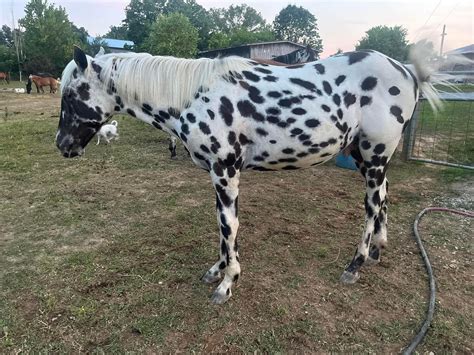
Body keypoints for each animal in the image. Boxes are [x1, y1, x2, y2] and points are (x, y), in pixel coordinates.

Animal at [55, 46, 444, 304]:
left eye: (72, 94)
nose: (62, 145)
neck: (194, 95)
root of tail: (406, 70)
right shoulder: (220, 175)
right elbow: (223, 226)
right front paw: (218, 269)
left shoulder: (225, 171)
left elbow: (229, 226)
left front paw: (227, 283)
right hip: (366, 157)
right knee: (383, 199)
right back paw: (378, 250)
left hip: (374, 154)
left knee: (372, 205)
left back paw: (356, 264)